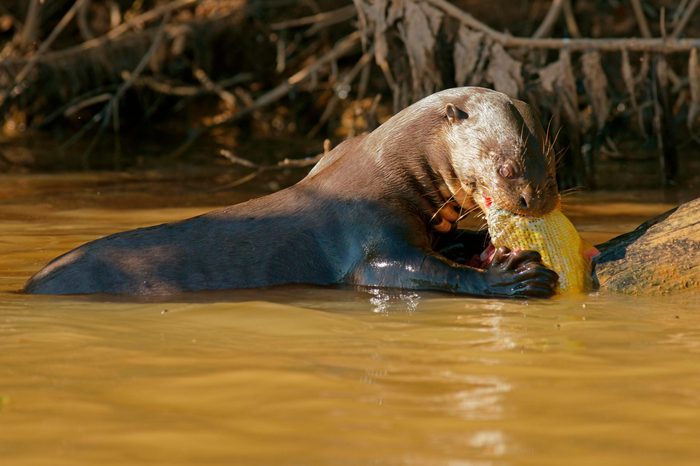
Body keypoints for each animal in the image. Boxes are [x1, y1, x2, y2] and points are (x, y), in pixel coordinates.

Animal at [26, 87, 556, 296]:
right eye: (507, 166)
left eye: (550, 162)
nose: (540, 200)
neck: (390, 167)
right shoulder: (367, 227)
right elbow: (401, 270)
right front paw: (509, 277)